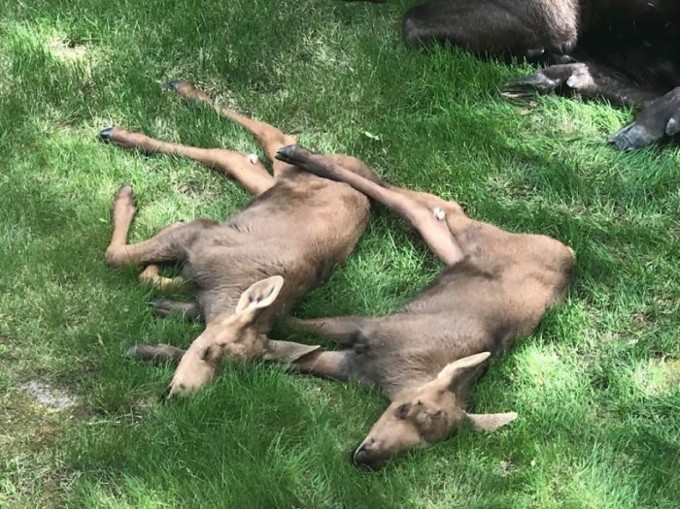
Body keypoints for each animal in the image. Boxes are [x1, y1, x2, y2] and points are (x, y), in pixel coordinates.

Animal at [102, 79, 378, 398]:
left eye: (232, 370)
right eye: (209, 350)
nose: (183, 393)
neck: (220, 294)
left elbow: (151, 278)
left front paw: (158, 274)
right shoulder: (201, 233)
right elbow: (117, 257)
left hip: (272, 187)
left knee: (232, 156)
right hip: (286, 171)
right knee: (270, 136)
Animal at [274, 143, 576, 468]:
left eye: (421, 446)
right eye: (404, 408)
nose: (366, 458)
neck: (394, 376)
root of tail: (570, 256)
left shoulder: (352, 366)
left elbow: (289, 356)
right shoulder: (369, 328)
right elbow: (295, 324)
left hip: (453, 249)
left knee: (423, 203)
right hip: (473, 237)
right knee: (414, 204)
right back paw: (296, 154)